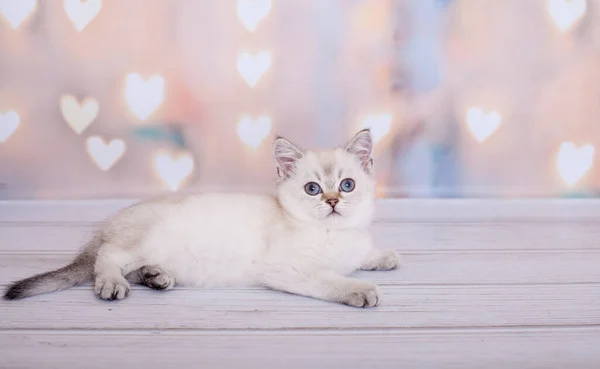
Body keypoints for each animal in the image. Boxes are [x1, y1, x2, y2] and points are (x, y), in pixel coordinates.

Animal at [4, 129, 400, 308]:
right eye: (313, 189)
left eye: (347, 185)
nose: (333, 201)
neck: (335, 233)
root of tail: (109, 224)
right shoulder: (291, 270)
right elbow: (331, 279)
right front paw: (360, 290)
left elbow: (363, 255)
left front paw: (384, 256)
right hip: (141, 240)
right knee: (109, 257)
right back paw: (112, 284)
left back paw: (157, 277)